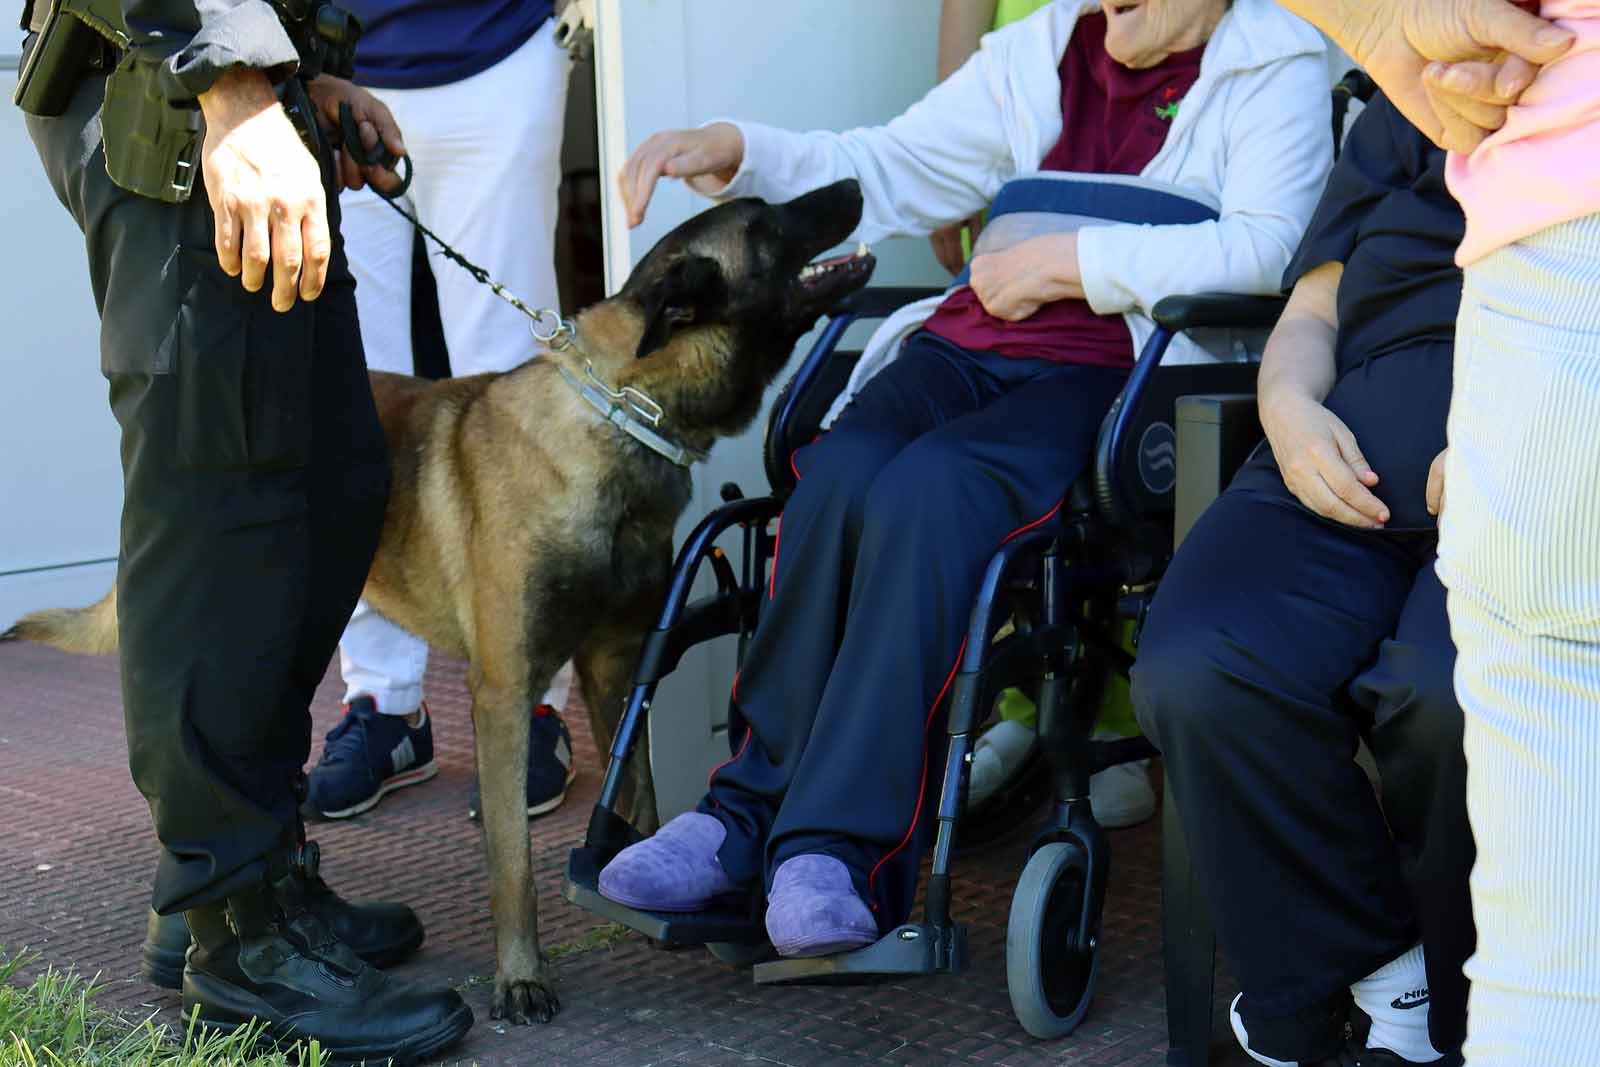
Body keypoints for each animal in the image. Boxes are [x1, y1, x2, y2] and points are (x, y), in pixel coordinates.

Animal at [3, 181, 876, 1023]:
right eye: (766, 222)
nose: (853, 182)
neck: (618, 415)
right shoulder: (502, 692)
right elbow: (513, 861)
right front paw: (519, 977)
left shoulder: (617, 667)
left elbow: (638, 794)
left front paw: (635, 874)